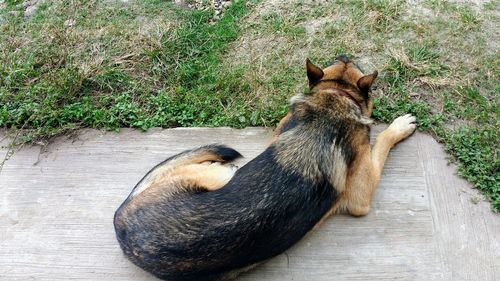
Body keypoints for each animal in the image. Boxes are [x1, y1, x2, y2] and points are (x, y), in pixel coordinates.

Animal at [114, 54, 418, 278]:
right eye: (342, 60)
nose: (345, 53)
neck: (336, 97)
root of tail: (122, 226)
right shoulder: (360, 198)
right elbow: (381, 143)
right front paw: (399, 126)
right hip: (220, 174)